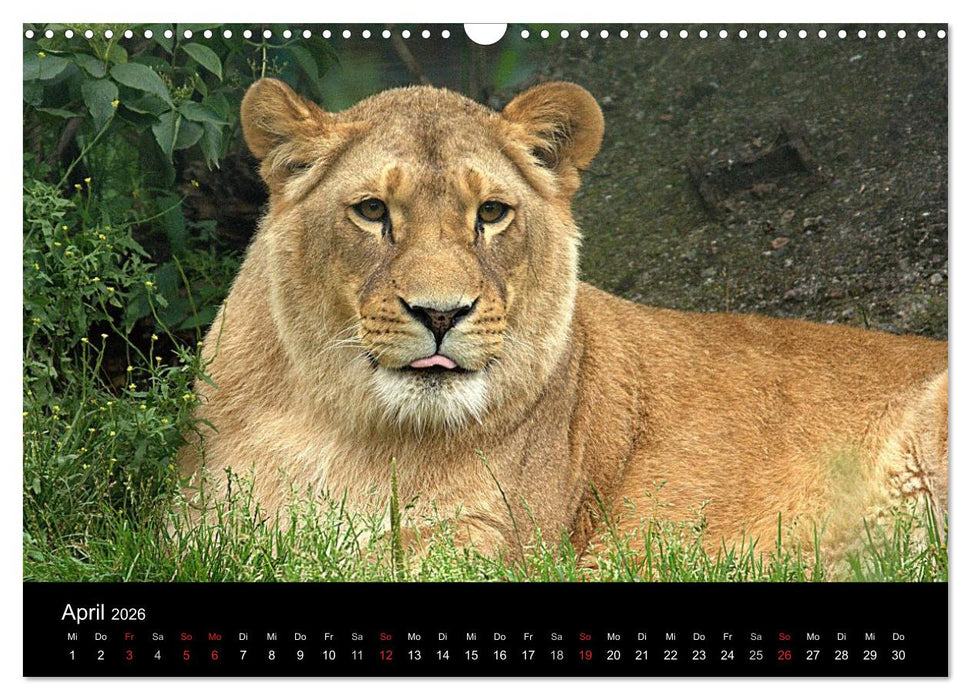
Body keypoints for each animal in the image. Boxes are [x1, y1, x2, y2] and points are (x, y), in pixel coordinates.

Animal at [180, 78, 947, 568]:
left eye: (491, 213)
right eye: (371, 211)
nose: (440, 313)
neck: (352, 430)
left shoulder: (493, 544)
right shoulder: (198, 526)